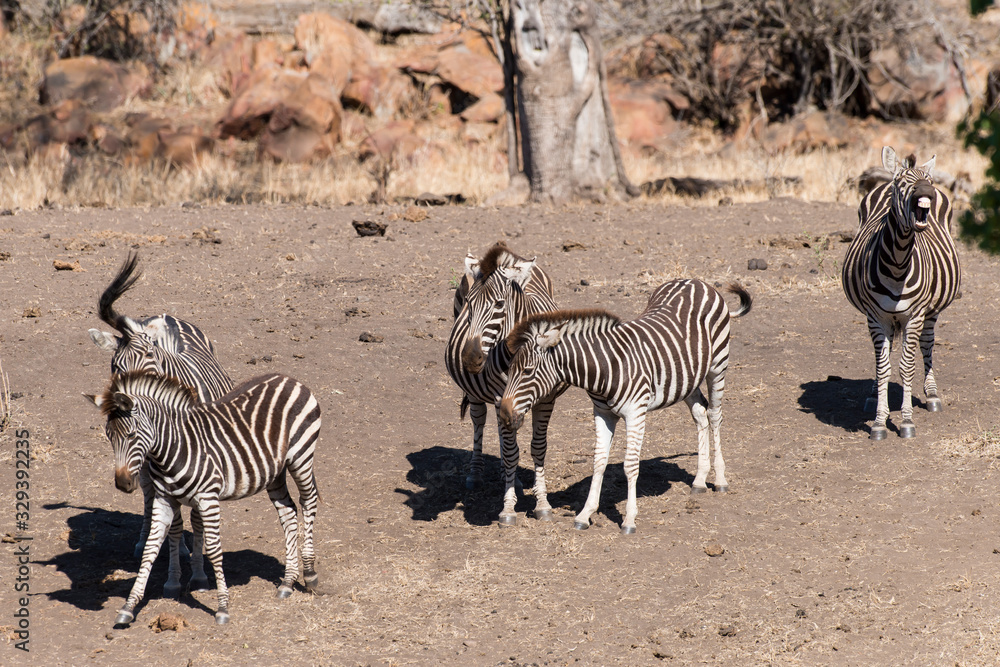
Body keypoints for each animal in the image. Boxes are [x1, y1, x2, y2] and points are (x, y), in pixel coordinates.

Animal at [85, 370, 322, 626]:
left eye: (131, 435)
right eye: (109, 436)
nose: (123, 483)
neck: (171, 449)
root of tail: (287, 378)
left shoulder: (208, 499)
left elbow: (215, 550)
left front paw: (222, 608)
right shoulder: (164, 499)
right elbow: (150, 548)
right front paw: (128, 607)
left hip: (301, 456)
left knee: (308, 501)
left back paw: (310, 574)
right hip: (274, 472)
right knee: (288, 512)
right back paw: (287, 582)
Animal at [89, 252, 234, 578]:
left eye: (150, 357)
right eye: (114, 365)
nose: (125, 402)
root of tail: (167, 317)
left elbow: (195, 515)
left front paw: (195, 563)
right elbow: (163, 506)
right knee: (147, 493)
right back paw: (146, 539)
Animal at [445, 242, 566, 525]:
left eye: (499, 304)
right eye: (469, 303)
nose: (470, 358)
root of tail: (511, 257)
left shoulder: (546, 400)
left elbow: (538, 448)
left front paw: (542, 503)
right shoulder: (502, 398)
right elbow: (512, 452)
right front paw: (508, 508)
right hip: (477, 393)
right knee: (479, 421)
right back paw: (476, 474)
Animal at [498, 279, 752, 534]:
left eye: (527, 371)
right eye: (509, 370)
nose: (504, 414)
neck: (606, 366)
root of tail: (696, 282)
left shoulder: (635, 413)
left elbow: (630, 465)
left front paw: (629, 520)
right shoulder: (602, 413)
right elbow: (598, 461)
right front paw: (585, 514)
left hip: (718, 365)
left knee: (715, 415)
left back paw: (720, 480)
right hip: (686, 378)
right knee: (700, 413)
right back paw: (699, 480)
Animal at [841, 147, 961, 440]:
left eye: (929, 182)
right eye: (902, 184)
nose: (927, 192)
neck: (897, 263)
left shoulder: (915, 316)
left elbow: (906, 367)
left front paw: (906, 421)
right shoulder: (876, 317)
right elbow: (883, 367)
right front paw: (878, 421)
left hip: (931, 311)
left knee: (926, 344)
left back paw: (932, 395)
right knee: (883, 356)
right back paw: (874, 395)